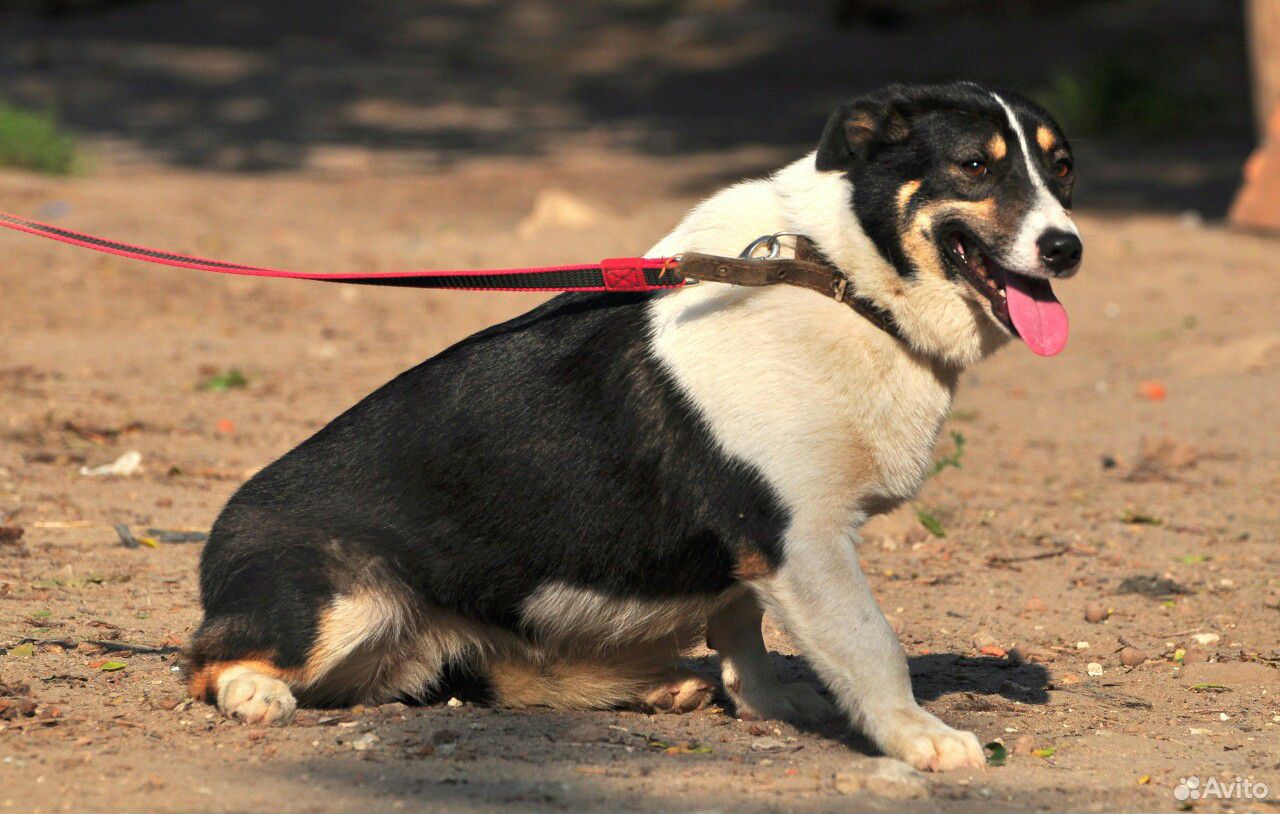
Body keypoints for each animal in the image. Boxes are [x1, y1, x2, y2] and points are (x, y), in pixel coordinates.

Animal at [183, 79, 1080, 773]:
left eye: (1063, 172)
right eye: (975, 167)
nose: (1067, 249)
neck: (837, 276)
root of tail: (216, 545)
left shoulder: (758, 552)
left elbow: (742, 628)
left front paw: (763, 699)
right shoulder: (801, 537)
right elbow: (871, 645)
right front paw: (919, 738)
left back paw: (653, 685)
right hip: (345, 604)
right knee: (207, 664)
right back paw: (255, 691)